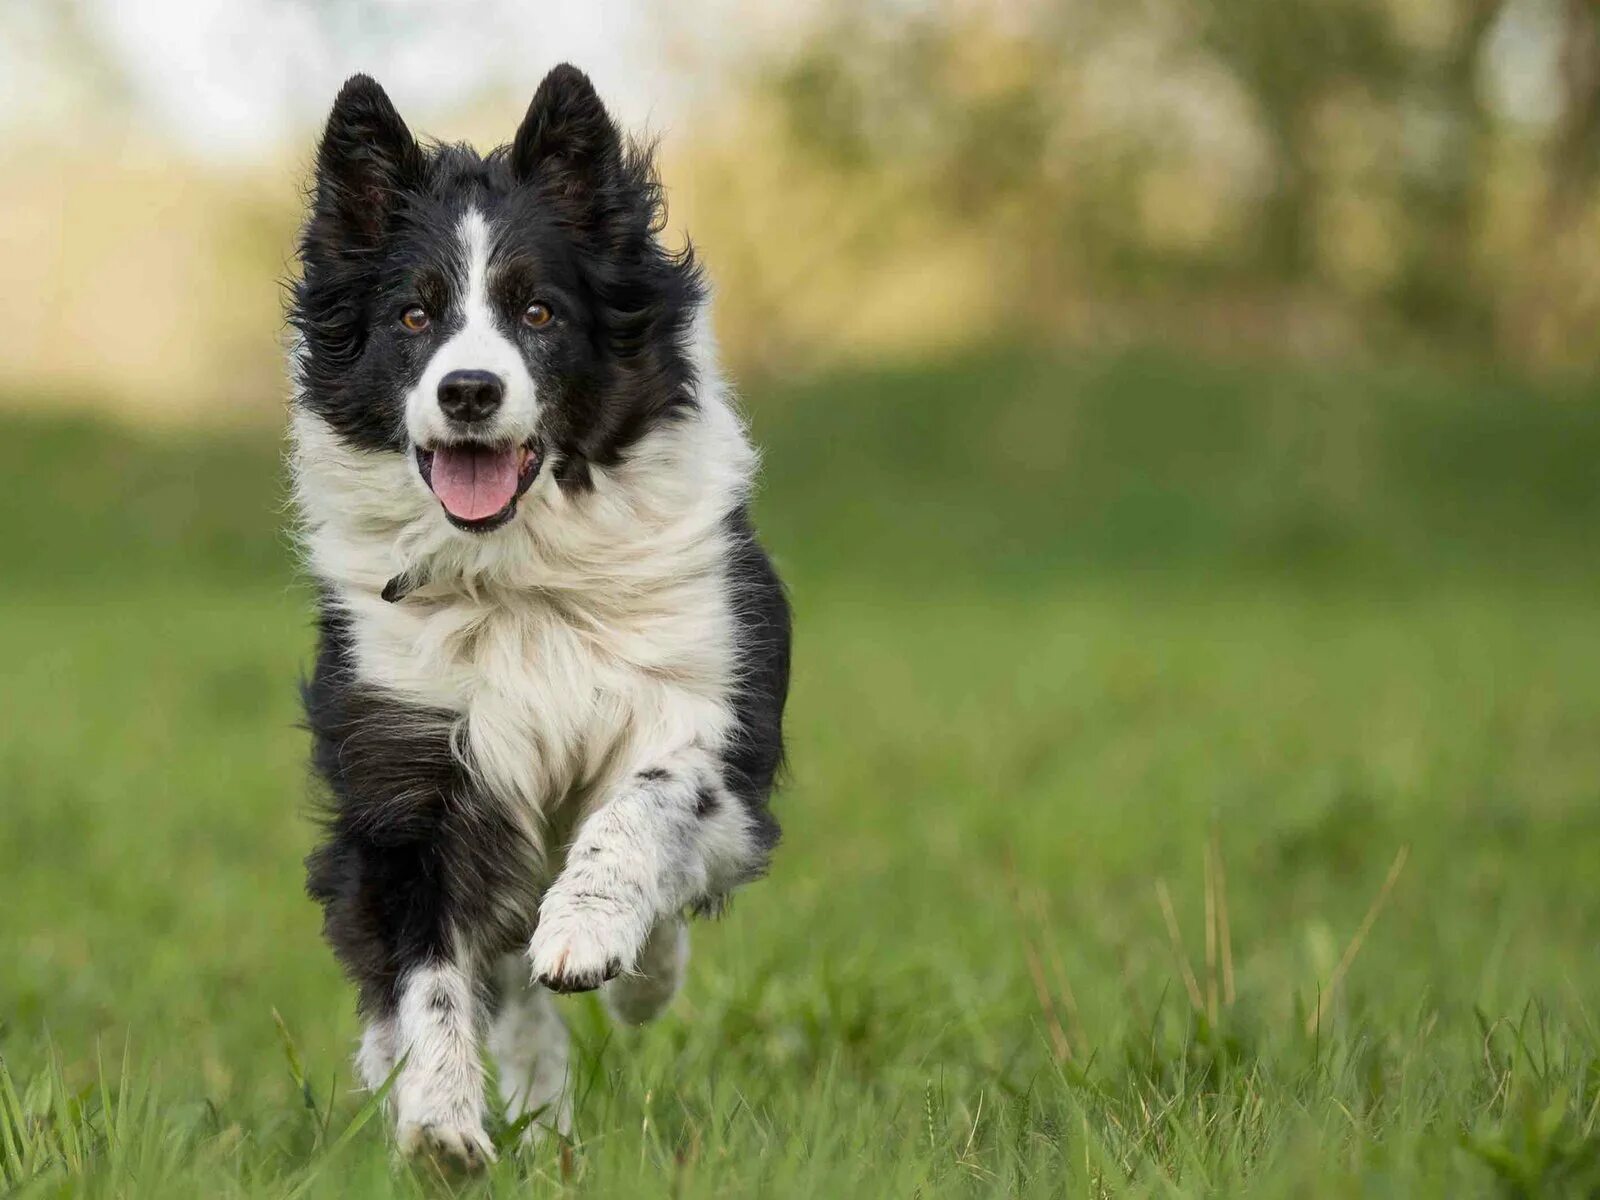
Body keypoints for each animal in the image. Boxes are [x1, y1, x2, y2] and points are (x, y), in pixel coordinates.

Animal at [288, 63, 793, 1164]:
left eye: (539, 311)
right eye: (413, 317)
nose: (471, 392)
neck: (519, 570)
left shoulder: (712, 710)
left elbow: (647, 804)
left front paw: (593, 933)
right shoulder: (411, 765)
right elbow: (427, 971)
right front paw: (438, 1120)